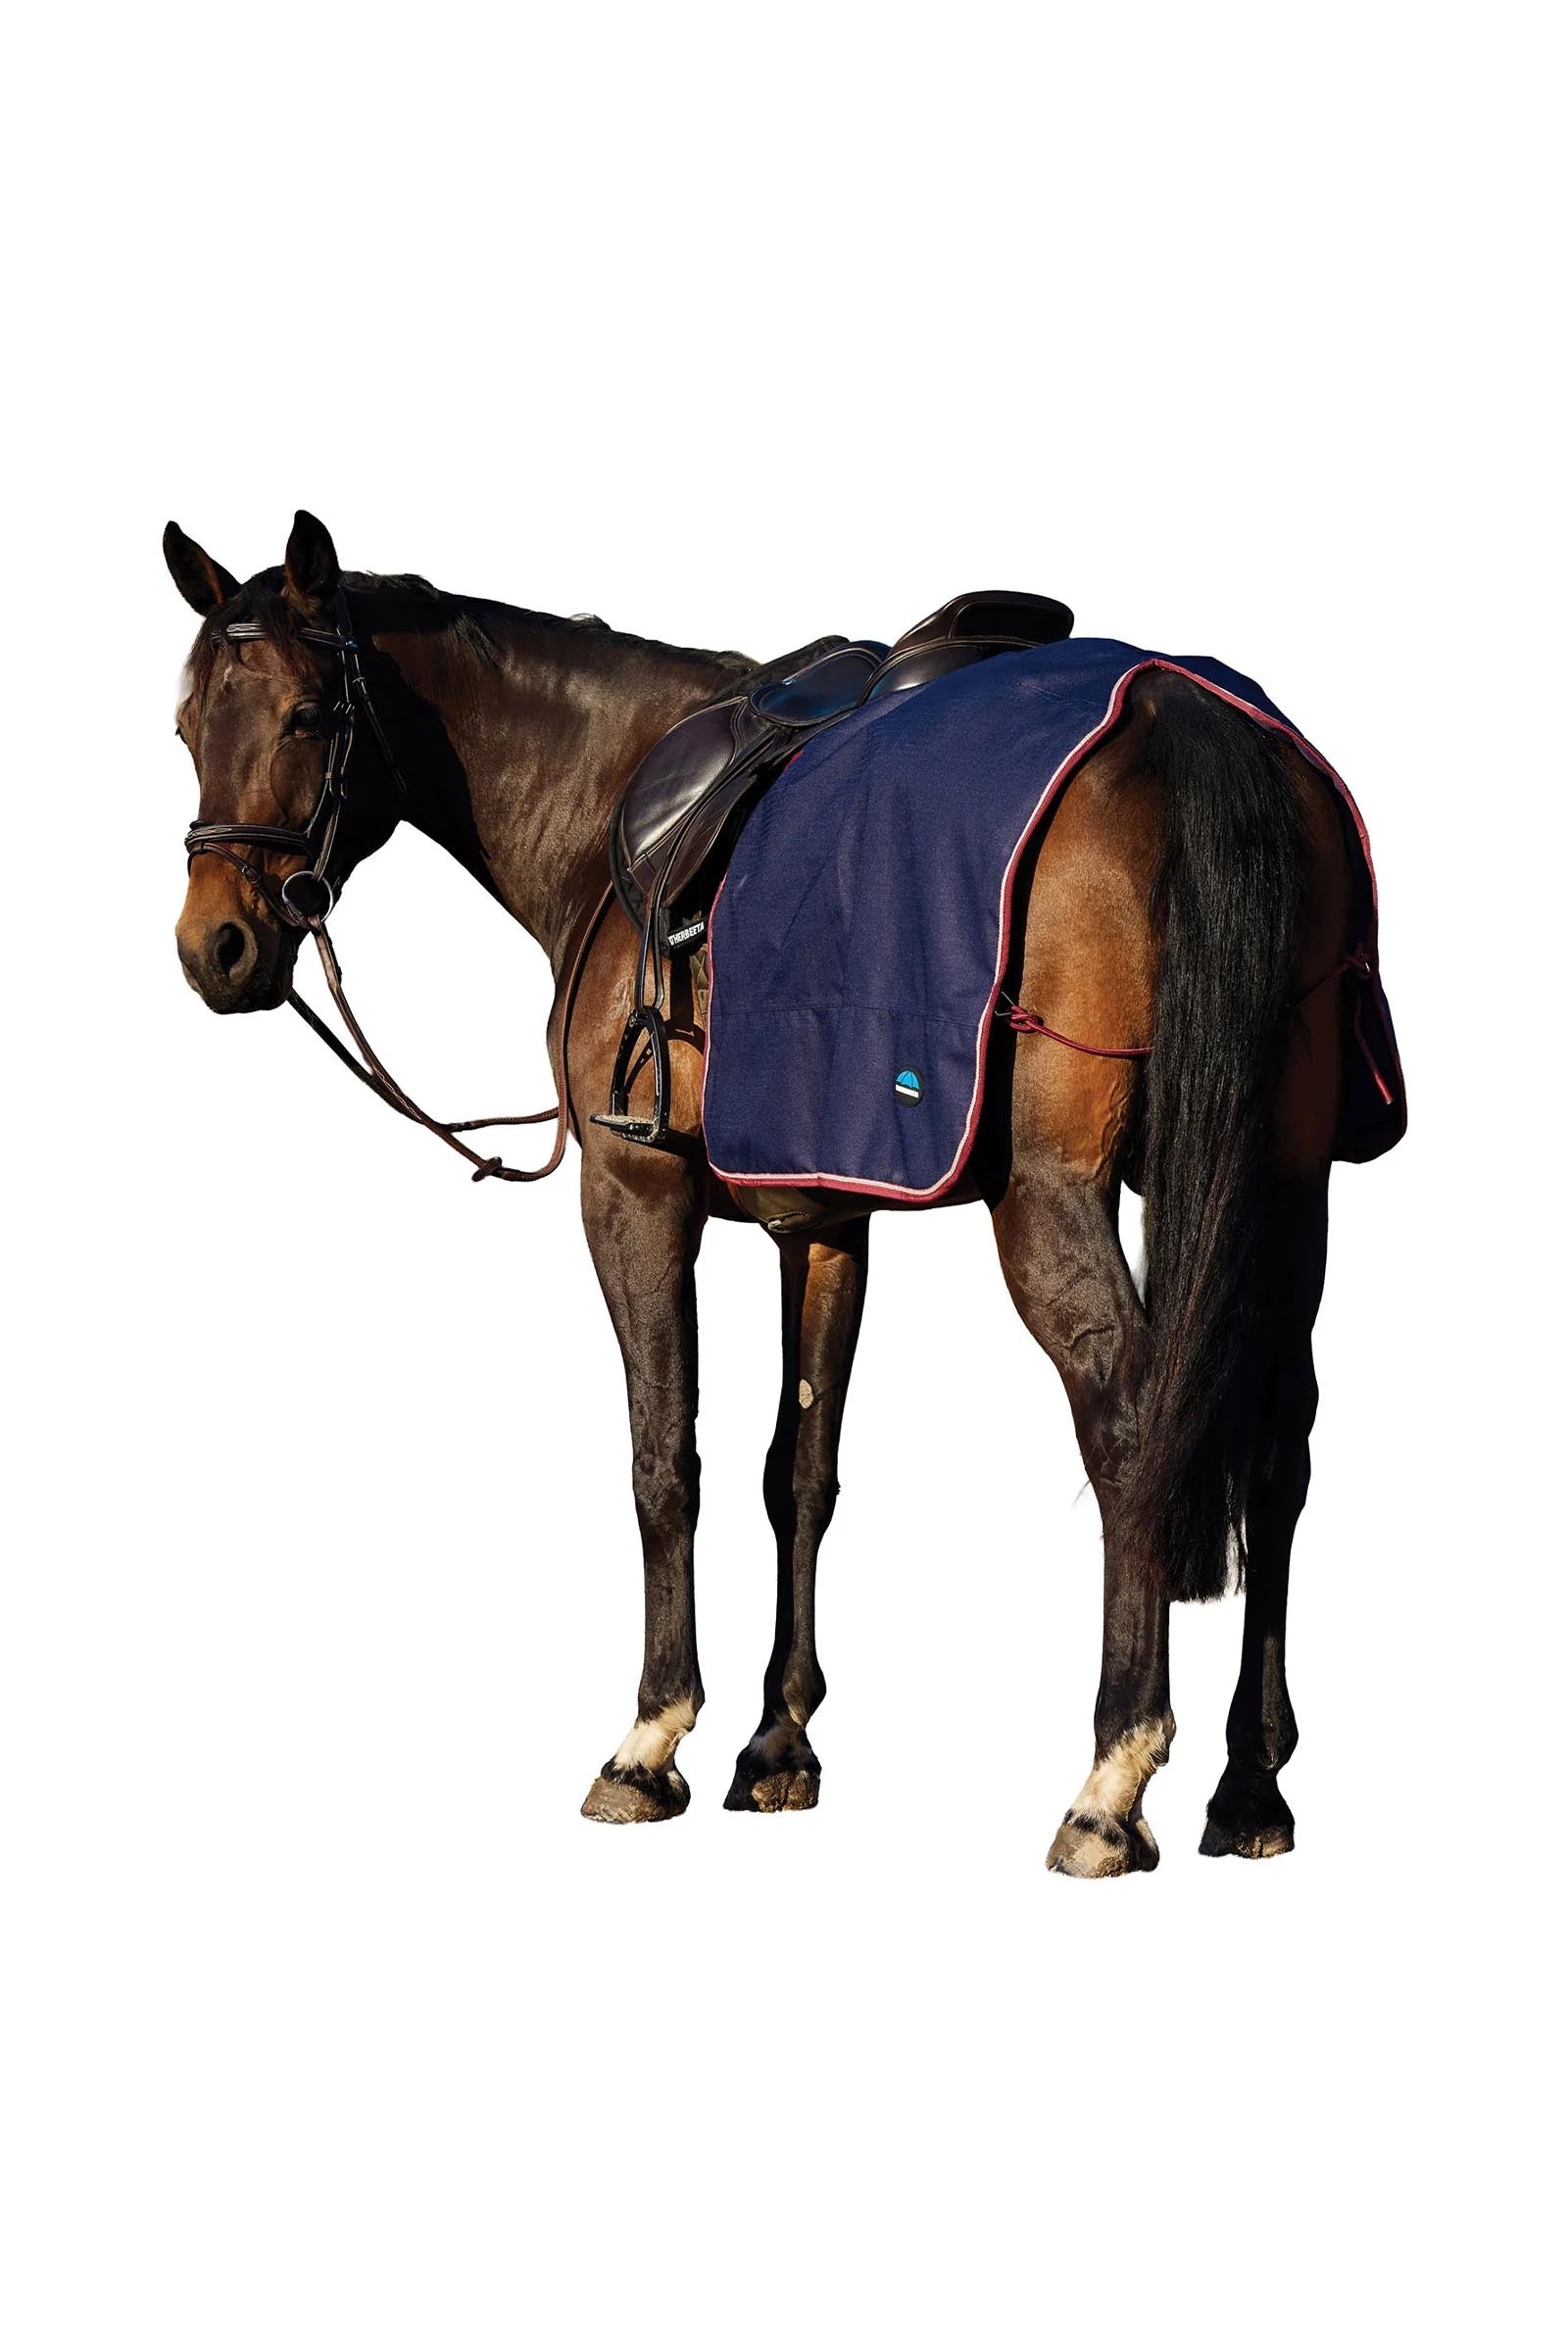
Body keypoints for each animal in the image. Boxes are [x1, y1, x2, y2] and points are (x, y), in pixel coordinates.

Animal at [166, 509, 1367, 1874]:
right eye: (187, 724)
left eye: (311, 715)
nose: (216, 948)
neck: (607, 801)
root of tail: (1180, 714)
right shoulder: (827, 1215)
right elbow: (800, 1471)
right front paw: (775, 1744)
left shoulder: (635, 1198)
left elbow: (663, 1461)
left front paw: (650, 1740)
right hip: (1277, 1188)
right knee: (1276, 1440)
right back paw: (1248, 1786)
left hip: (1054, 1199)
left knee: (1131, 1420)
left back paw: (1111, 1781)